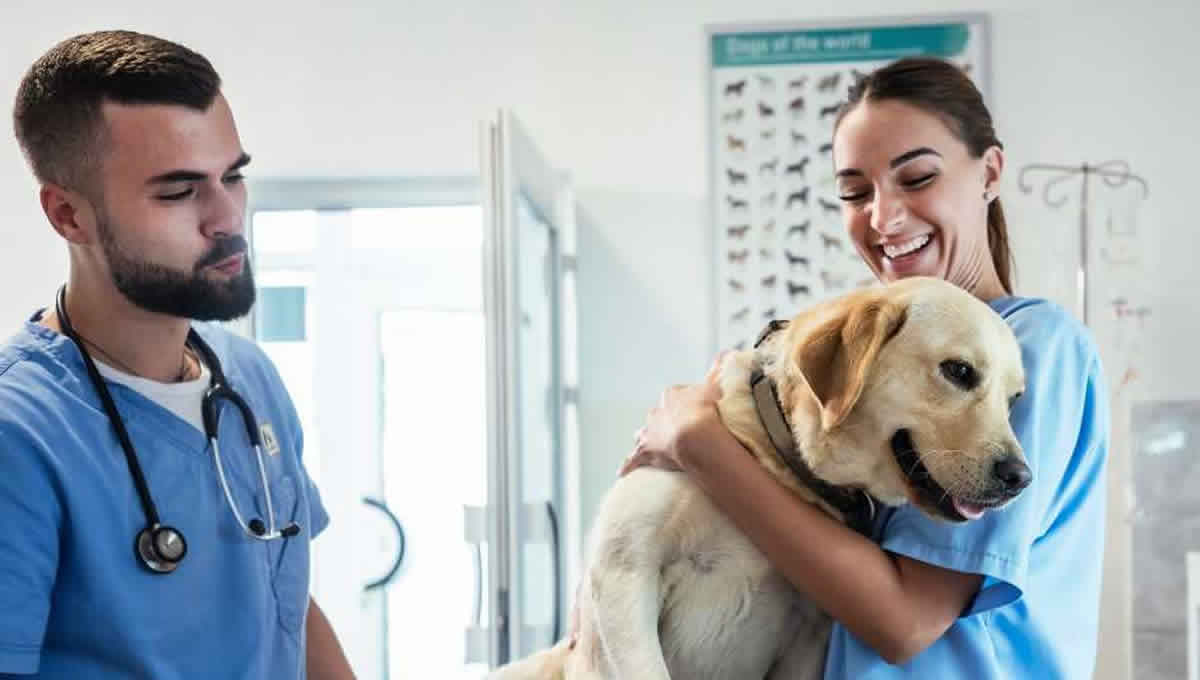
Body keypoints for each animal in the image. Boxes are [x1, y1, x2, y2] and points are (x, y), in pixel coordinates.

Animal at [487, 277, 1032, 680]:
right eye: (958, 371)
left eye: (1014, 400)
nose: (1021, 477)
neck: (774, 462)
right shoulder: (624, 574)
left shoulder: (810, 633)